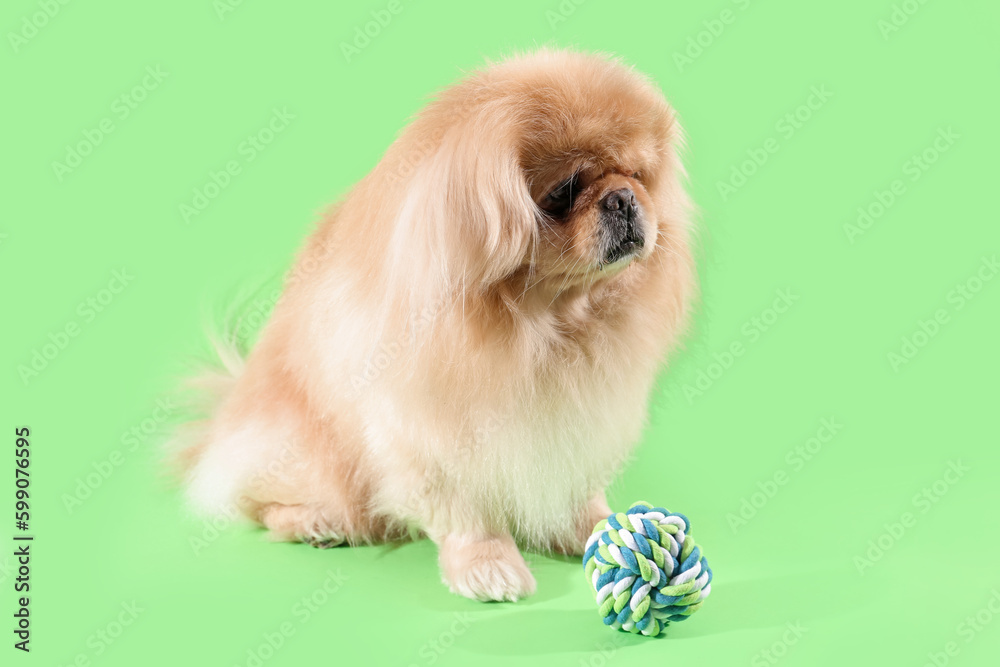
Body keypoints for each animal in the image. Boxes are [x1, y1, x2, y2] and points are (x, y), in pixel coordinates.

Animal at [174, 51, 696, 604]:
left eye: (637, 174)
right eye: (565, 190)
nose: (622, 197)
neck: (546, 325)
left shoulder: (577, 418)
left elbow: (577, 488)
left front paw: (602, 530)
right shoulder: (427, 431)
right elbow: (464, 511)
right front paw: (487, 567)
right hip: (309, 456)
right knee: (256, 501)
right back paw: (316, 523)